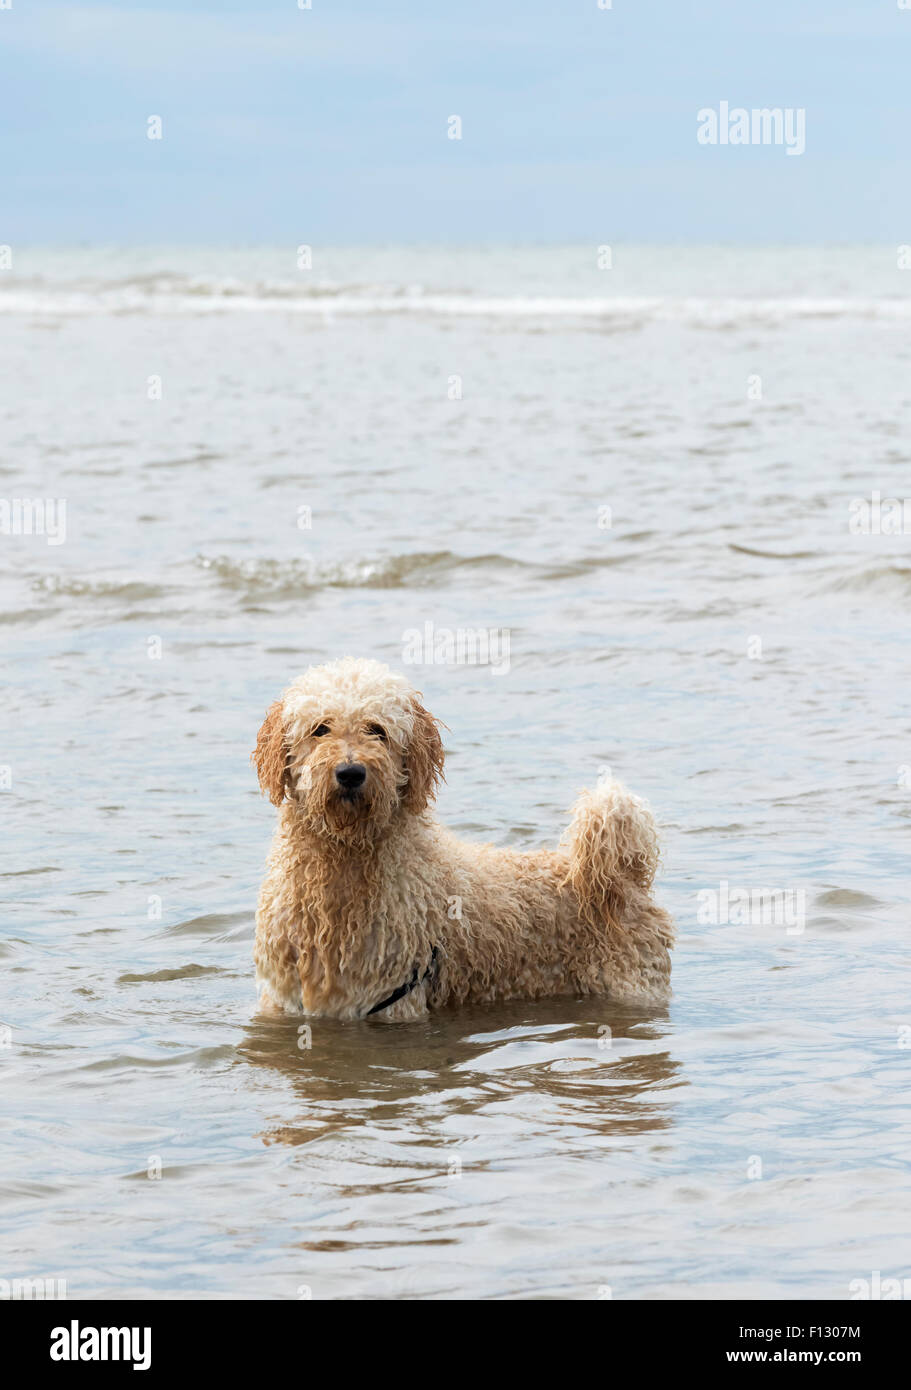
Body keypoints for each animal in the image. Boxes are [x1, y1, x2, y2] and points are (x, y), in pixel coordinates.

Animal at [253, 650, 673, 1023]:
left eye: (377, 731)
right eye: (320, 729)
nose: (350, 772)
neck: (342, 857)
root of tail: (619, 878)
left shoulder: (394, 1000)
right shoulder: (285, 1001)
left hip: (632, 984)